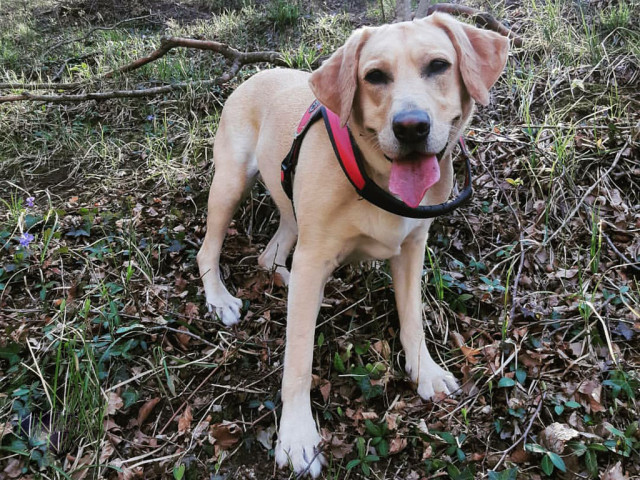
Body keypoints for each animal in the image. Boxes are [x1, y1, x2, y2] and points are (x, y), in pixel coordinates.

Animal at [198, 11, 508, 476]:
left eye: (438, 65)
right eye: (374, 76)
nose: (411, 127)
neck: (376, 178)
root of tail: (256, 73)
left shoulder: (412, 247)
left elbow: (413, 319)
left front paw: (426, 372)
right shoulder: (314, 256)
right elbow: (298, 361)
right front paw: (297, 436)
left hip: (291, 206)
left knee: (272, 254)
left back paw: (286, 280)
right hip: (231, 183)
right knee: (209, 248)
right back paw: (220, 298)